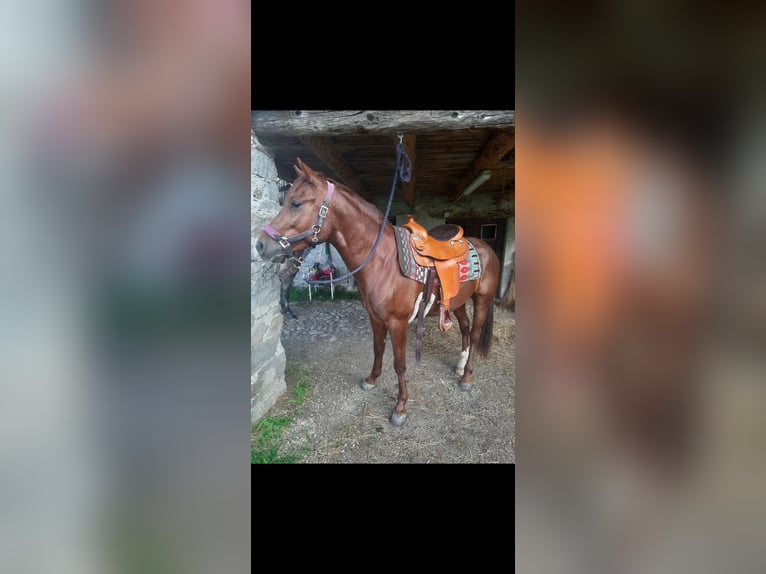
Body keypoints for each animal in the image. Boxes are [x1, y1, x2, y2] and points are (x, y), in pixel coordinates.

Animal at [255, 159, 500, 428]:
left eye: (296, 203)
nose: (261, 245)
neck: (383, 261)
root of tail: (486, 248)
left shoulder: (398, 323)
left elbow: (400, 364)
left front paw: (400, 407)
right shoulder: (375, 318)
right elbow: (378, 349)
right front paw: (371, 380)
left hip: (482, 300)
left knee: (474, 334)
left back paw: (466, 378)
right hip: (456, 302)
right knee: (465, 328)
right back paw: (459, 366)